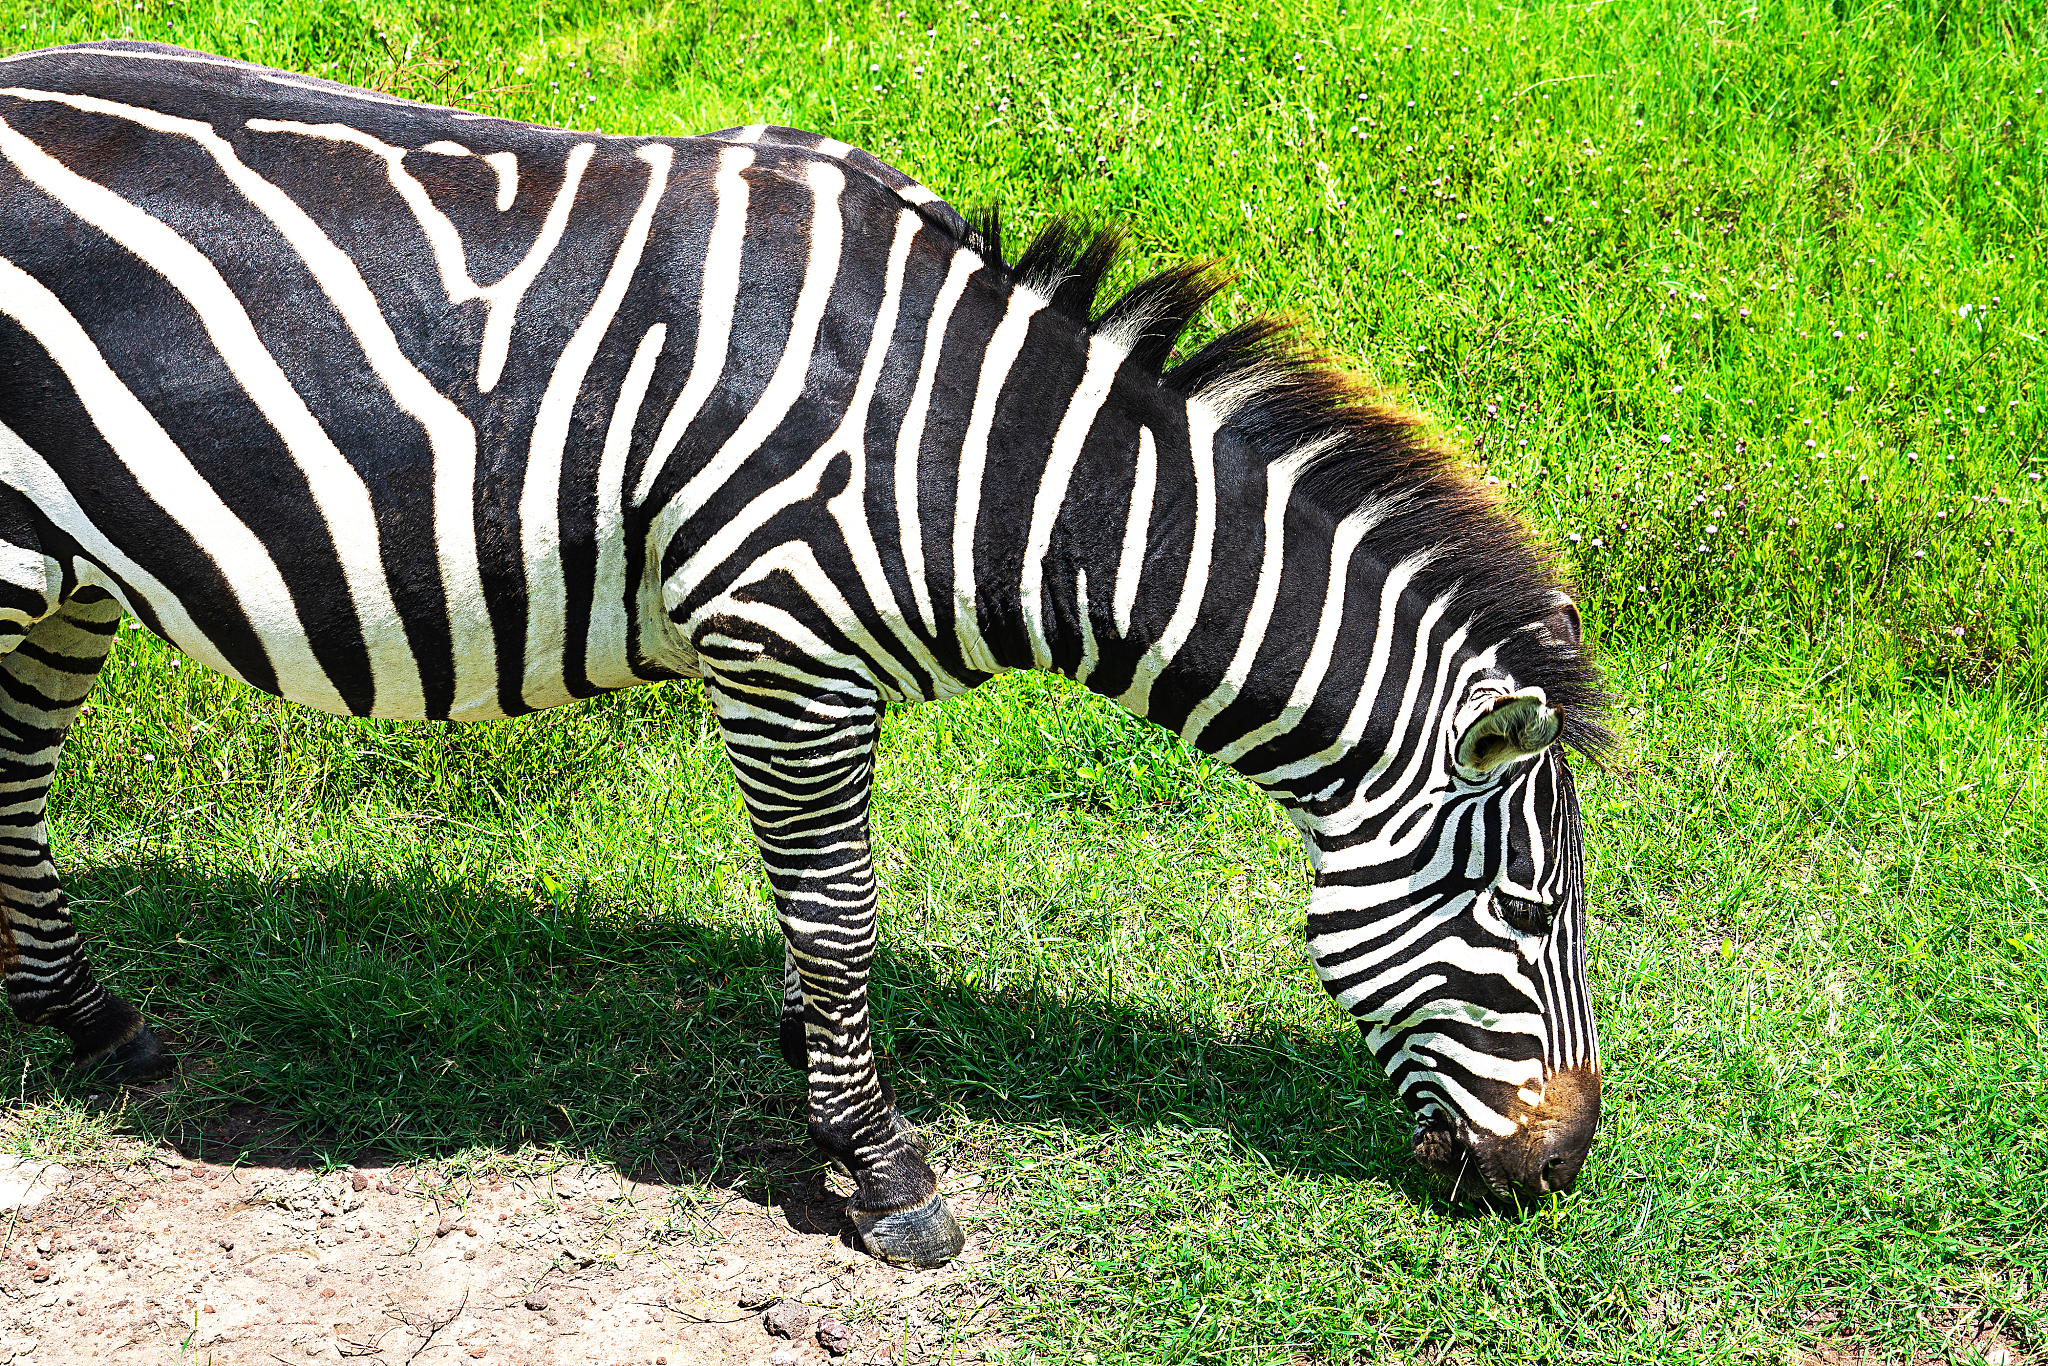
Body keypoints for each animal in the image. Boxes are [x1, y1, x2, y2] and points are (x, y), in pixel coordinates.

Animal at [0, 40, 1608, 1264]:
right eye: (1525, 908)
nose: (1563, 1169)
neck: (988, 460)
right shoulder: (780, 646)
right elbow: (842, 913)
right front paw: (882, 1168)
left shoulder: (794, 669)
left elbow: (809, 901)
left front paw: (809, 1058)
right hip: (22, 554)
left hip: (75, 567)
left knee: (18, 775)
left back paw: (89, 1017)